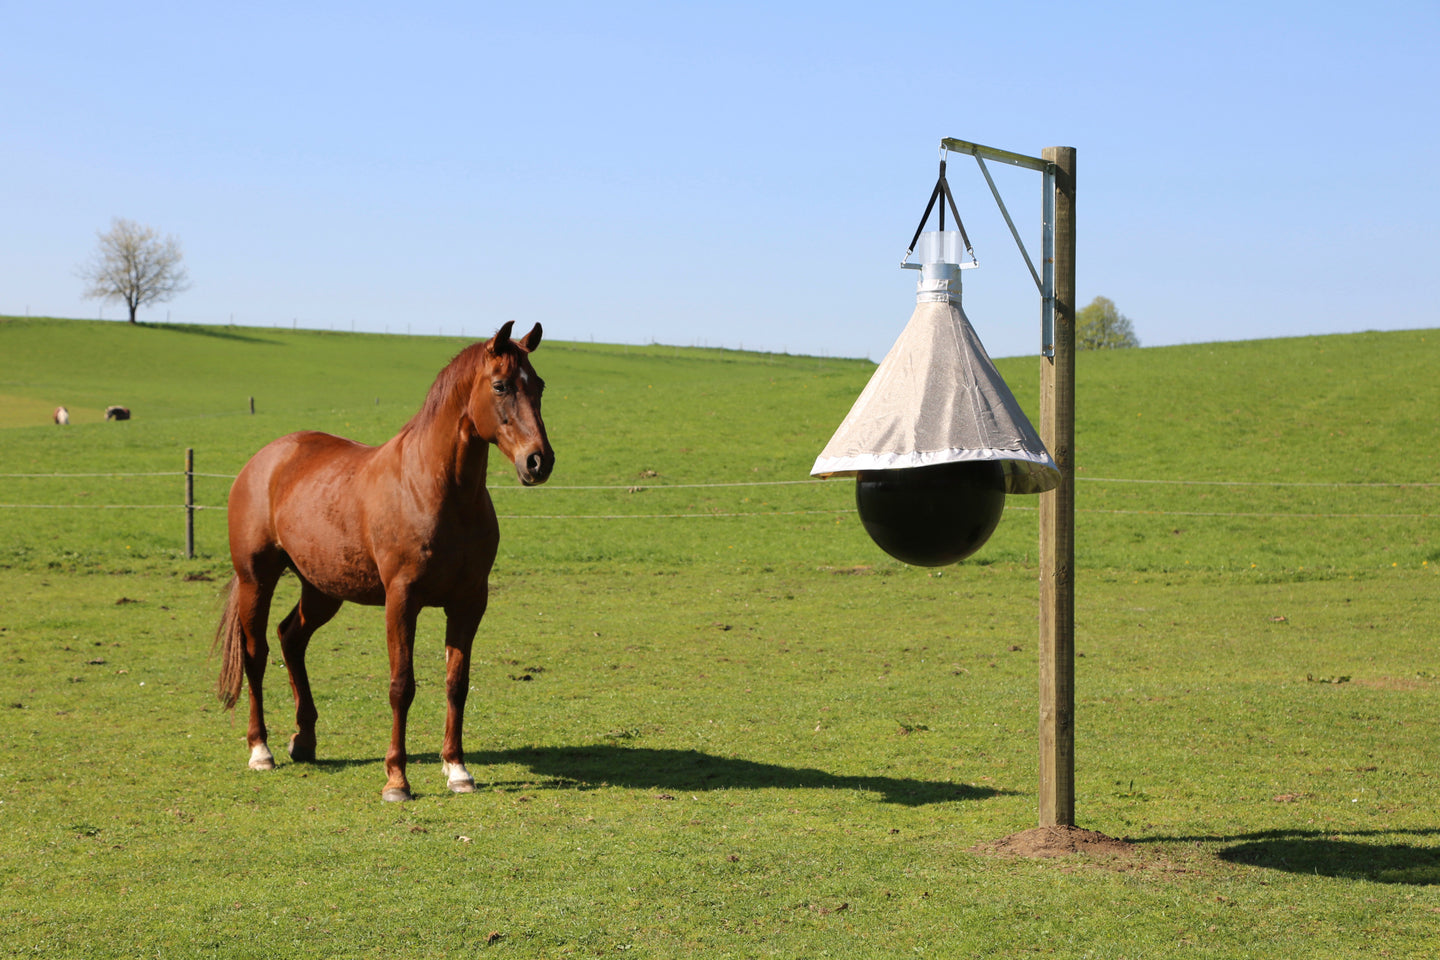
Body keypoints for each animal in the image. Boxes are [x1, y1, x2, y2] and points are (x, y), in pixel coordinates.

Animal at [213, 322, 550, 805]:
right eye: (501, 385)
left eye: (538, 386)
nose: (538, 461)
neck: (435, 489)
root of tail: (265, 459)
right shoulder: (401, 600)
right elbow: (401, 685)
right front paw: (397, 779)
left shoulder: (469, 602)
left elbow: (457, 683)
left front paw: (457, 770)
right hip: (256, 579)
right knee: (257, 653)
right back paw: (261, 750)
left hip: (322, 589)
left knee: (291, 638)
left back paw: (304, 741)